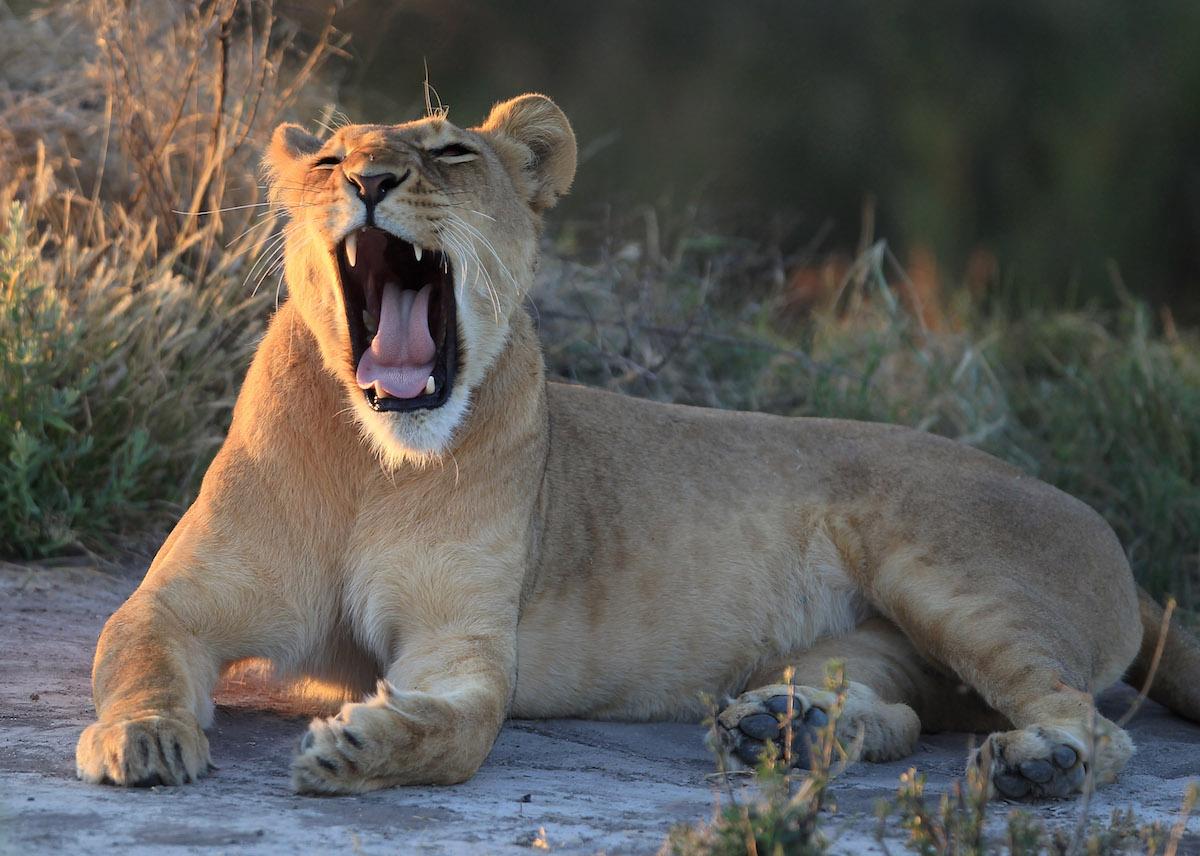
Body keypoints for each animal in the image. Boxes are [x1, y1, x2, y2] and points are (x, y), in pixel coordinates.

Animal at [75, 94, 1200, 799]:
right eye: (324, 158)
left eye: (450, 153)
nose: (373, 178)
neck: (372, 458)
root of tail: (1106, 533)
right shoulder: (178, 598)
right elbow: (136, 650)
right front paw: (144, 736)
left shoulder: (460, 642)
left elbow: (457, 729)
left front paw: (363, 746)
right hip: (876, 641)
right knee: (909, 712)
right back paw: (786, 728)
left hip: (948, 570)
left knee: (1092, 722)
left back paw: (1036, 768)